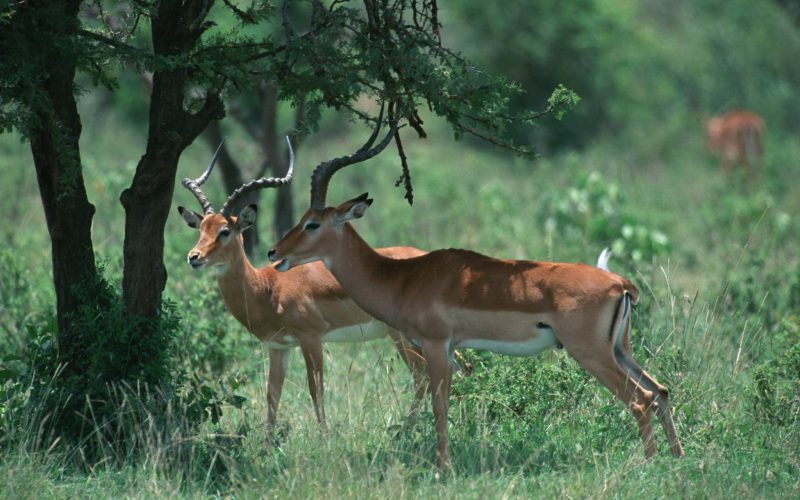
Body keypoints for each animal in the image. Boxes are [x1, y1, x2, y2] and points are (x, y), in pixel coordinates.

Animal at [177, 139, 429, 432]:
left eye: (225, 231)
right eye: (201, 229)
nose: (194, 257)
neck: (266, 288)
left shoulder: (311, 338)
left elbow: (316, 390)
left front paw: (325, 436)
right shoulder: (278, 347)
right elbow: (272, 394)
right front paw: (270, 440)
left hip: (402, 336)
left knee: (422, 377)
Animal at [267, 115, 685, 467]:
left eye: (312, 223)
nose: (274, 253)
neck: (403, 278)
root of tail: (620, 284)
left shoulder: (436, 345)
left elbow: (440, 407)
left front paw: (443, 467)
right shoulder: (450, 349)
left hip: (591, 353)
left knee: (640, 400)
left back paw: (648, 465)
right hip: (619, 350)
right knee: (661, 391)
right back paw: (678, 459)